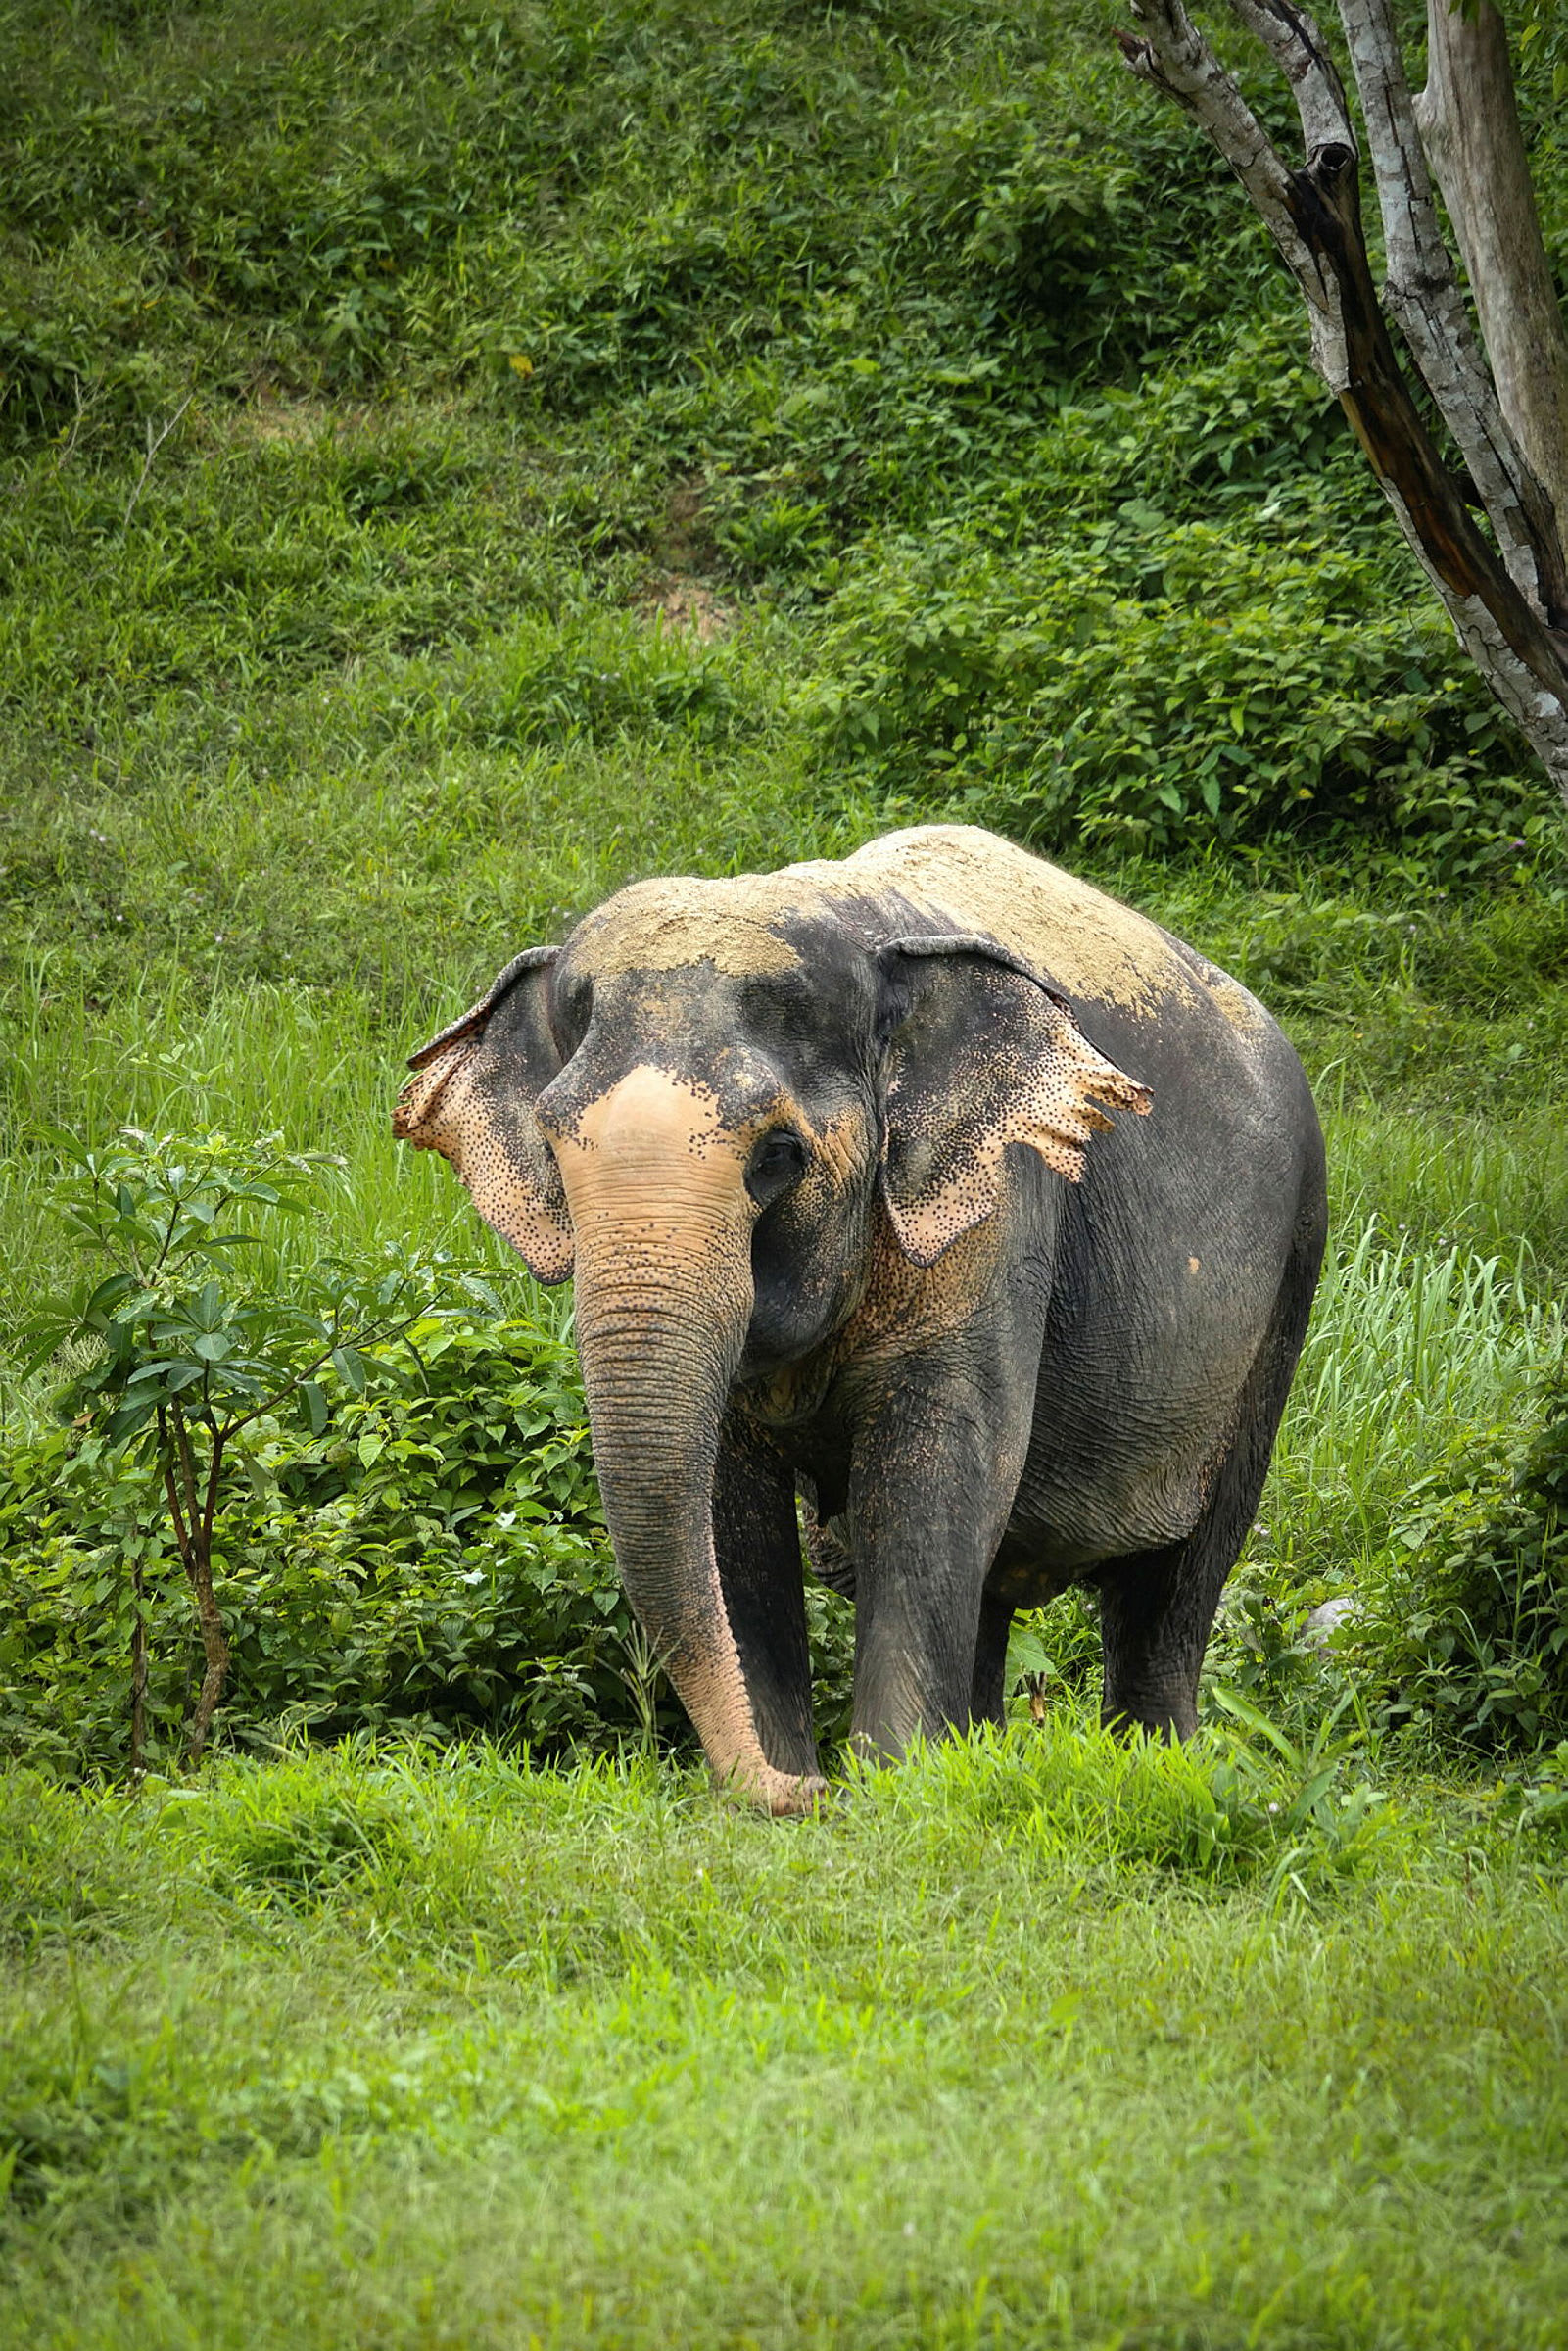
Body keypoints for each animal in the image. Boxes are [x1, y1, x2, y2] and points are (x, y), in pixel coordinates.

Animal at [394, 823, 1325, 1814]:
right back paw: (980, 1757)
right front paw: (804, 1784)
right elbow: (733, 1516)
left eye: (777, 1155)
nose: (803, 1792)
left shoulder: (999, 1211)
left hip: (1287, 1283)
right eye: (553, 1147)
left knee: (1175, 1583)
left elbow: (935, 1482)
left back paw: (1156, 1770)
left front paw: (887, 1792)